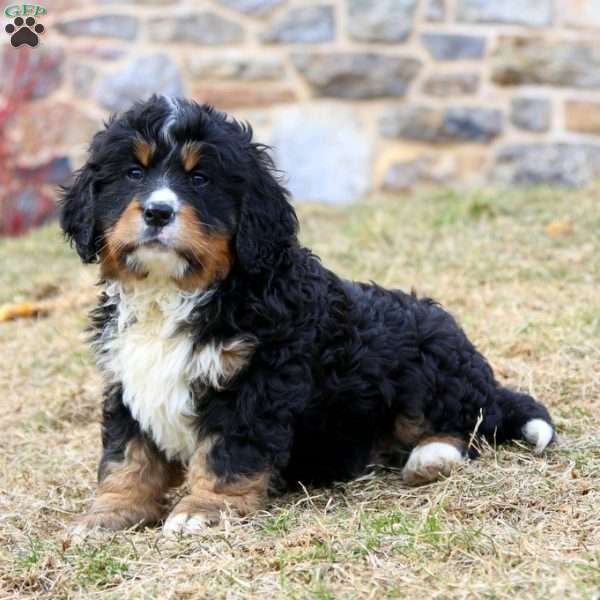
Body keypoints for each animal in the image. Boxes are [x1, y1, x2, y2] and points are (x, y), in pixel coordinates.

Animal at [61, 96, 552, 536]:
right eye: (133, 173)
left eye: (200, 179)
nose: (158, 211)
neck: (175, 291)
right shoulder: (127, 380)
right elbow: (127, 456)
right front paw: (108, 513)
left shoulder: (255, 383)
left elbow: (226, 452)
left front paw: (204, 509)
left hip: (427, 365)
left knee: (468, 424)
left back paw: (431, 457)